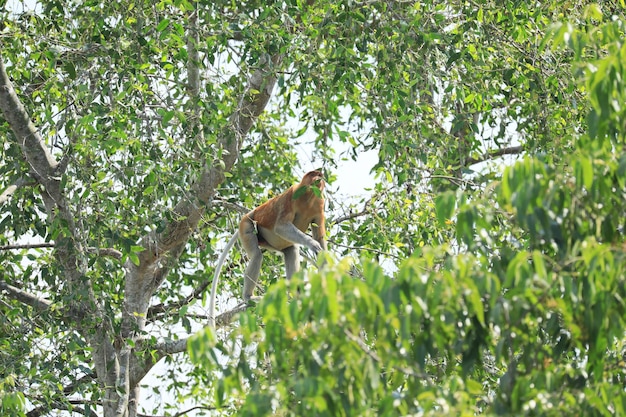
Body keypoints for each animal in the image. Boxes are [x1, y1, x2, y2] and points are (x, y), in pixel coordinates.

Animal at [210, 169, 326, 324]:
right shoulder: (291, 196)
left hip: (271, 242)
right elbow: (281, 226)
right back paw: (249, 297)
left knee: (291, 250)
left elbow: (320, 237)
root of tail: (250, 213)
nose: (319, 178)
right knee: (257, 255)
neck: (309, 197)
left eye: (320, 175)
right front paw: (312, 244)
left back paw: (294, 293)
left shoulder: (319, 205)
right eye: (314, 174)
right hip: (247, 226)